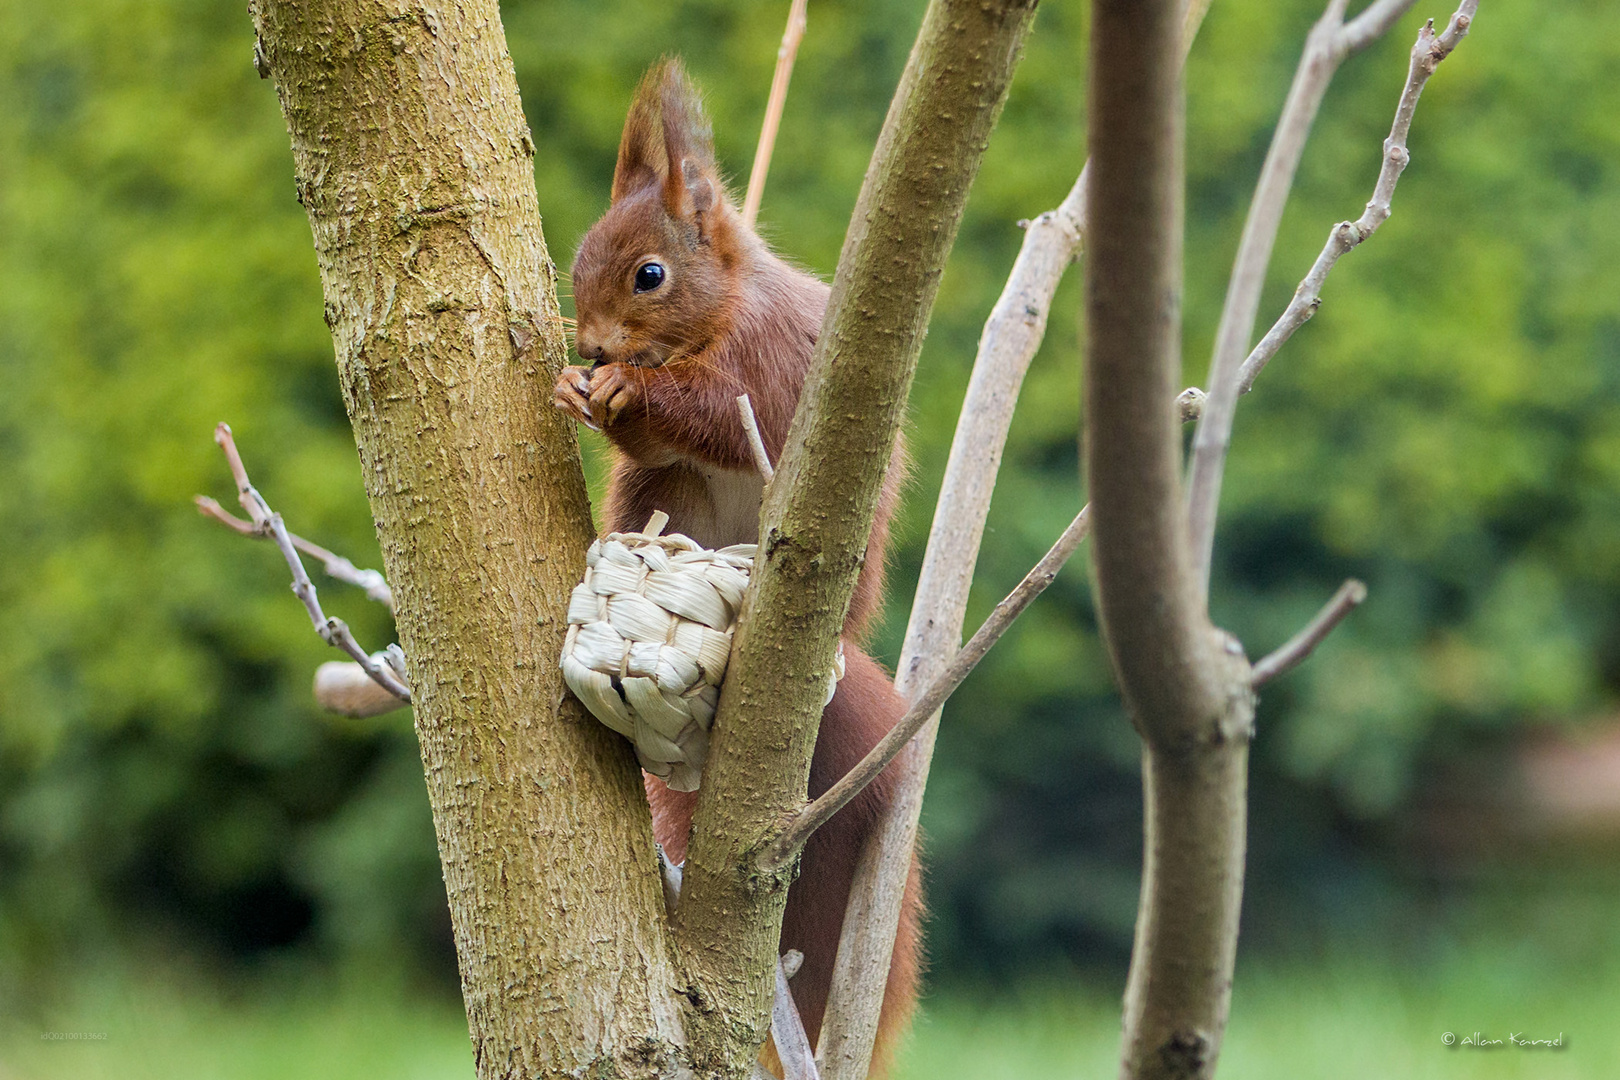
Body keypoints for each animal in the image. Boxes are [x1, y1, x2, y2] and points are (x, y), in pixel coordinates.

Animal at [550, 61, 920, 1080]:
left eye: (650, 274)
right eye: (577, 263)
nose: (592, 348)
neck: (714, 315)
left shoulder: (760, 369)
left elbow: (714, 409)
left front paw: (629, 390)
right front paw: (575, 390)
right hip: (657, 502)